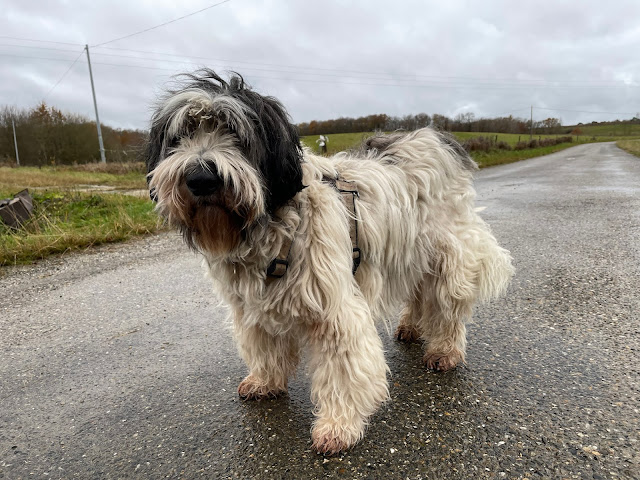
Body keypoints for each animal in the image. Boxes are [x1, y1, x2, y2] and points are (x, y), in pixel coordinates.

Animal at [145, 70, 514, 454]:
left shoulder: (333, 308)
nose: (200, 178)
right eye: (181, 136)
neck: (274, 224)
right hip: (408, 251)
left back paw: (444, 349)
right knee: (417, 291)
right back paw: (411, 325)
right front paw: (265, 380)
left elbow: (342, 368)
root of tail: (434, 137)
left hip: (446, 255)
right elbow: (264, 345)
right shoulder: (252, 306)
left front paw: (338, 425)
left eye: (235, 133)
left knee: (448, 305)